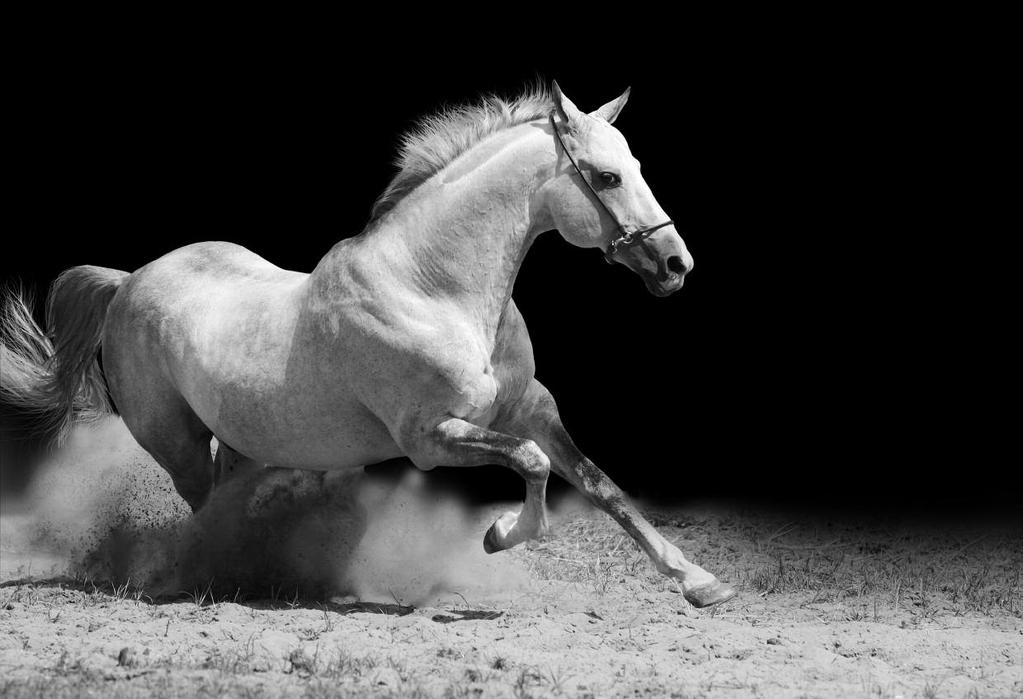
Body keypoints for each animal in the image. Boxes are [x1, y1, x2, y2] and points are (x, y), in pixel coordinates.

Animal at [1, 81, 736, 605]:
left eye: (635, 164)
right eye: (606, 177)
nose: (676, 264)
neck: (433, 289)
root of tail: (129, 280)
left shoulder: (532, 408)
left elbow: (600, 484)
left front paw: (701, 582)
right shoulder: (433, 437)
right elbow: (530, 465)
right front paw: (499, 535)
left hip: (243, 442)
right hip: (175, 441)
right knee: (203, 507)